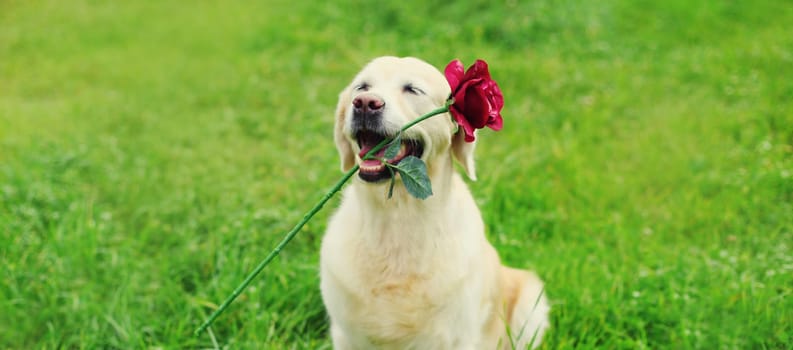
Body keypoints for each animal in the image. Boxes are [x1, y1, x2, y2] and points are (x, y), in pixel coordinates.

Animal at [318, 56, 548, 348]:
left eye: (412, 89)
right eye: (362, 87)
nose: (365, 103)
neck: (397, 216)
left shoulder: (457, 337)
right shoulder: (345, 334)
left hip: (531, 304)